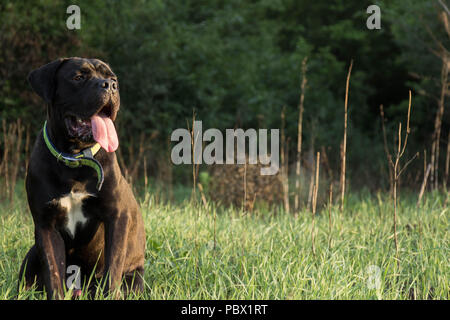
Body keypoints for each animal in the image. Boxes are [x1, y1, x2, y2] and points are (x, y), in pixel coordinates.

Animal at [18, 57, 145, 300]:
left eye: (113, 79)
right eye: (78, 77)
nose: (110, 86)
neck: (75, 159)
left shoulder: (117, 216)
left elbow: (112, 267)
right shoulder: (46, 226)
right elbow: (53, 273)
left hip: (134, 278)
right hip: (31, 256)